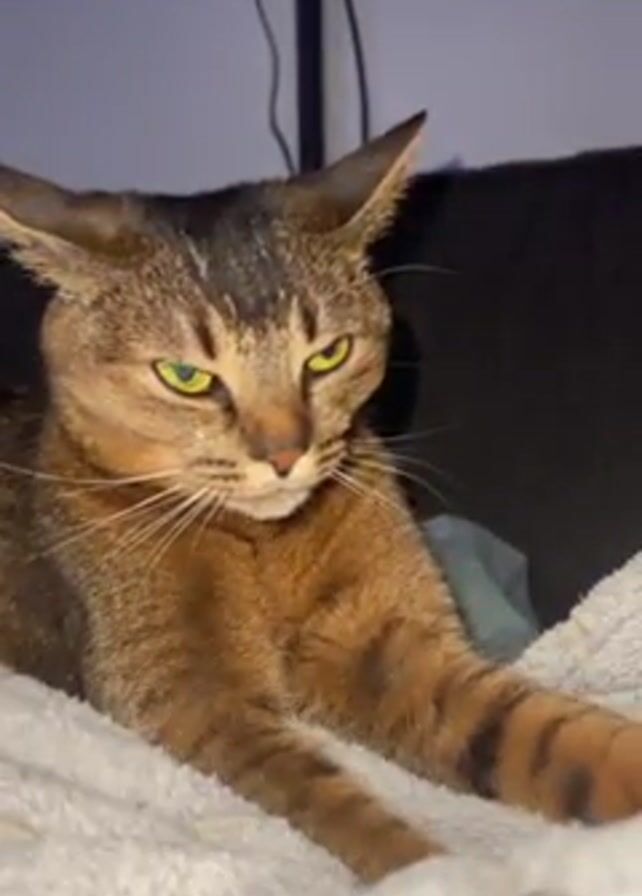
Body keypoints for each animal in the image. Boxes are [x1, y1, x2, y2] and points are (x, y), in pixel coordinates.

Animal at [0, 113, 641, 883]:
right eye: (187, 376)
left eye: (328, 355)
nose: (284, 455)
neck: (264, 543)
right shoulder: (185, 700)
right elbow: (334, 805)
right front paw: (432, 870)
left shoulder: (391, 645)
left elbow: (548, 734)